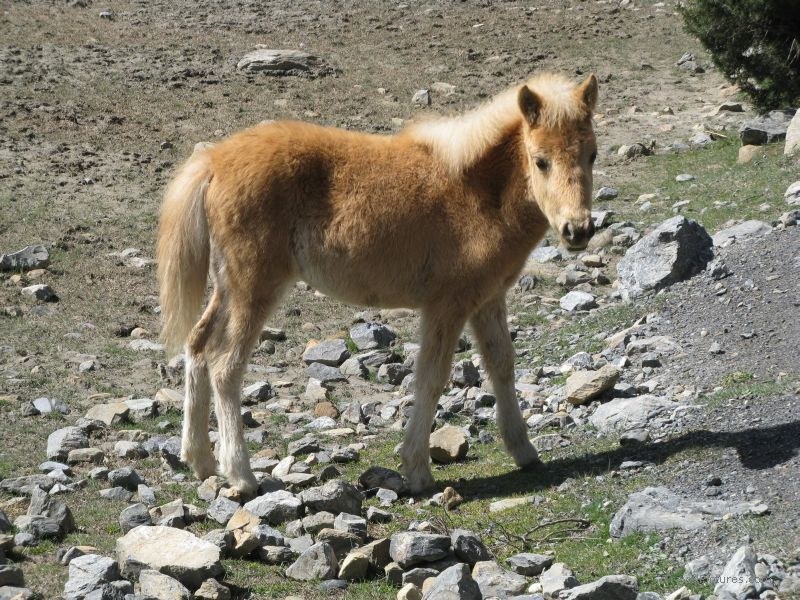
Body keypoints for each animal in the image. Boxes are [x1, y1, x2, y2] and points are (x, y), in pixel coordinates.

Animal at [156, 72, 598, 496]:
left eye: (592, 154)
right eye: (540, 161)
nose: (577, 231)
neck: (477, 192)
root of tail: (214, 160)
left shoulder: (488, 299)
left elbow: (502, 364)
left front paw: (524, 451)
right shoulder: (448, 304)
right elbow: (432, 377)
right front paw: (417, 470)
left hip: (228, 289)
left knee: (197, 346)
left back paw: (200, 461)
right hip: (253, 288)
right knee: (224, 366)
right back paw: (242, 475)